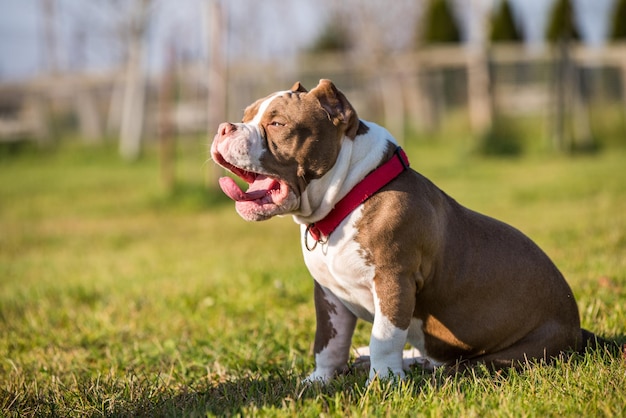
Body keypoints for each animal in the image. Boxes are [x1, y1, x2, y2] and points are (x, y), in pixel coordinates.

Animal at [210, 78, 596, 382]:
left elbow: (385, 335)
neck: (349, 196)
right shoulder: (329, 295)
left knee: (463, 365)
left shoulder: (394, 280)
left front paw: (382, 381)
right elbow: (328, 343)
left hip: (511, 355)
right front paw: (319, 380)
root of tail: (577, 330)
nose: (224, 128)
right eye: (245, 116)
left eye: (277, 123)